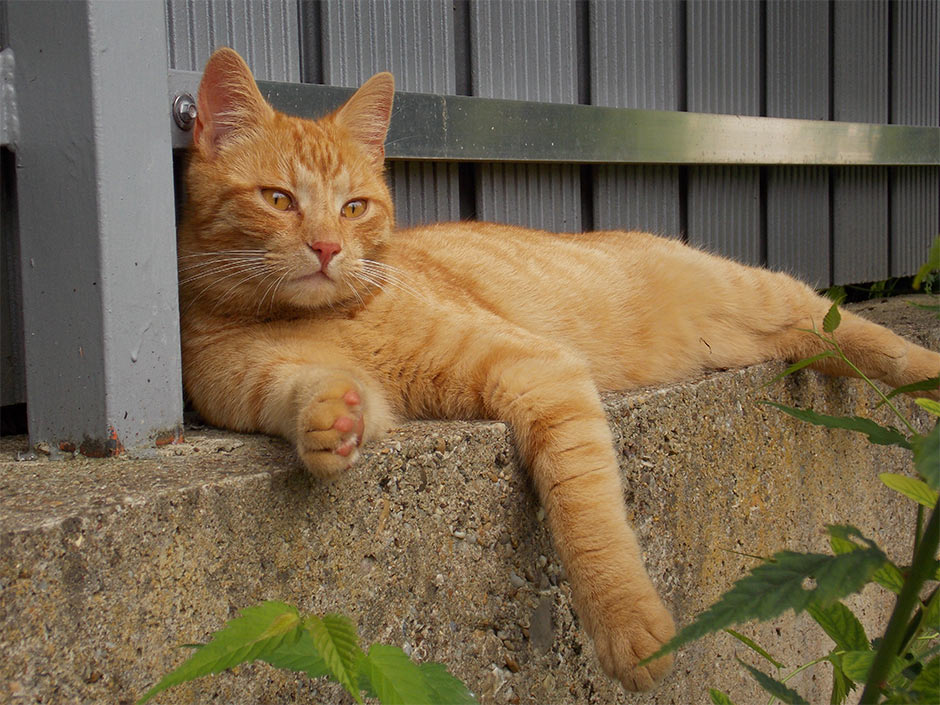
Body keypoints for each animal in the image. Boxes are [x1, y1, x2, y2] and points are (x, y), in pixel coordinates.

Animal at [178, 46, 940, 692]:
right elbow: (303, 391)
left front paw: (627, 623)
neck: (310, 318)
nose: (328, 247)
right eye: (279, 199)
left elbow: (586, 513)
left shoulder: (538, 370)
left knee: (869, 335)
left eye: (354, 206)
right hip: (768, 336)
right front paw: (329, 421)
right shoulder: (255, 388)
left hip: (768, 296)